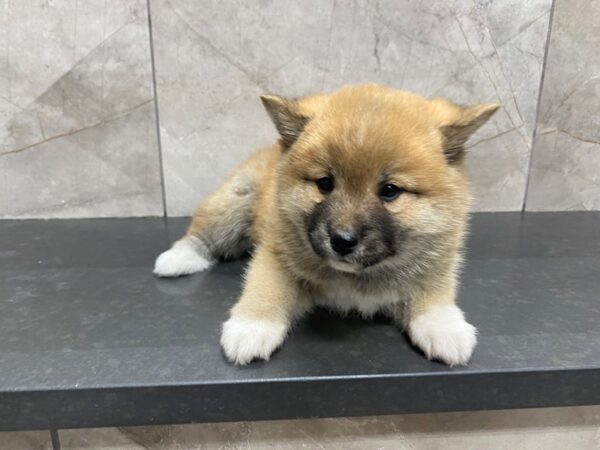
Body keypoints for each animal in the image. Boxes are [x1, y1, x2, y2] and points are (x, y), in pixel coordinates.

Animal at [154, 83, 496, 366]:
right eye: (325, 184)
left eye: (390, 191)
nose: (342, 240)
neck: (359, 277)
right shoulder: (276, 255)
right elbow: (265, 287)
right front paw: (251, 326)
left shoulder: (436, 262)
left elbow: (434, 291)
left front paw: (444, 327)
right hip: (233, 204)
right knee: (202, 234)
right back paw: (177, 258)